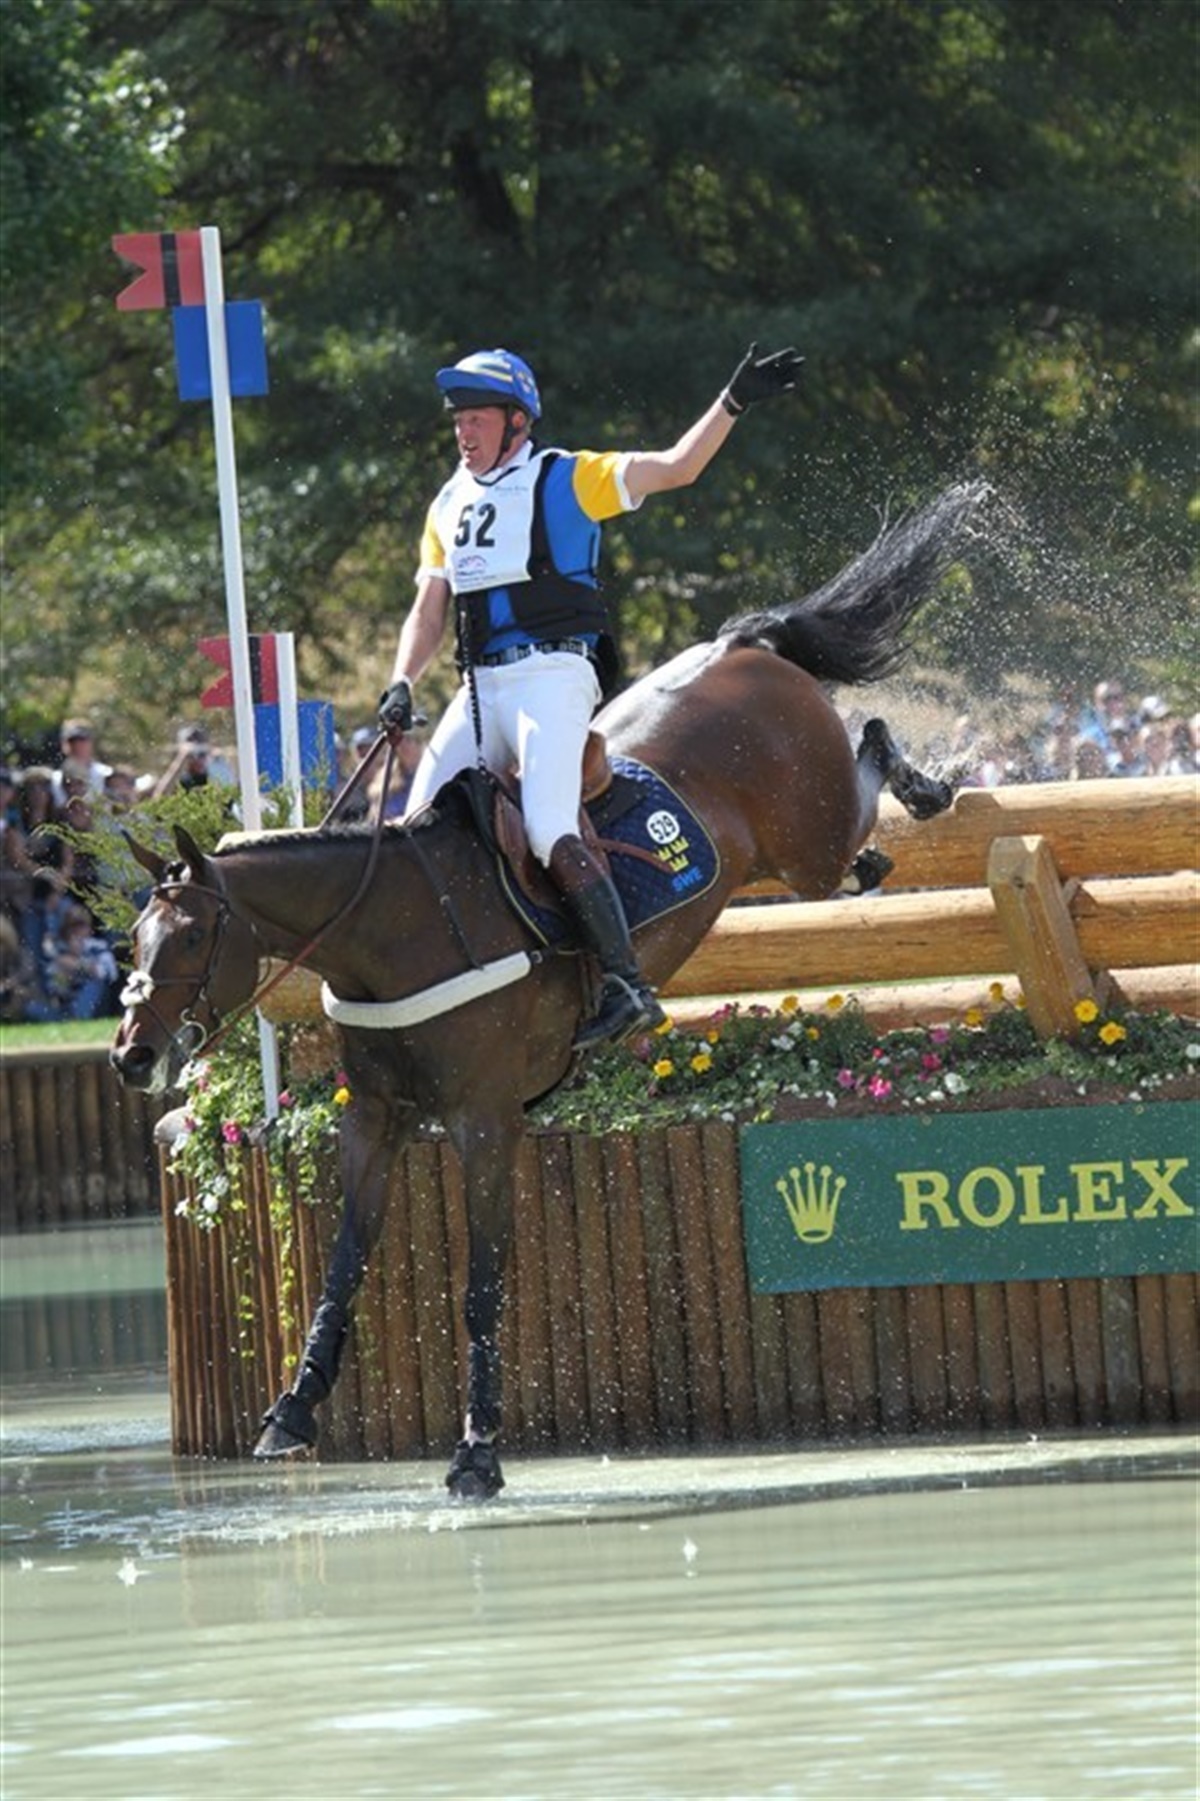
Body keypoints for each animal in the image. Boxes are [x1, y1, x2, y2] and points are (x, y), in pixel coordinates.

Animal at [111, 481, 987, 1498]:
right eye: (132, 939)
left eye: (192, 937)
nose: (130, 1054)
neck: (391, 931)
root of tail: (741, 646)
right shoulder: (376, 1116)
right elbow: (341, 1265)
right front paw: (294, 1406)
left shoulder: (487, 1120)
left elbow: (480, 1286)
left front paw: (477, 1450)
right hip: (807, 853)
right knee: (859, 829)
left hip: (807, 840)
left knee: (868, 748)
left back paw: (927, 786)